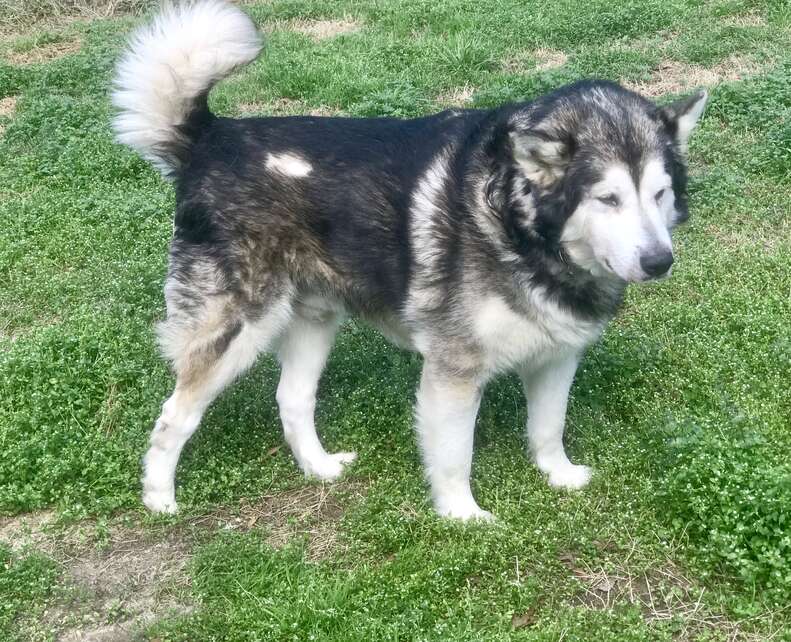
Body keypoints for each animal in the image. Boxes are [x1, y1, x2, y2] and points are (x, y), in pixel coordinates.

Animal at [110, 0, 704, 520]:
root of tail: (212, 137)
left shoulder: (557, 356)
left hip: (313, 322)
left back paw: (319, 468)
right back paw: (159, 499)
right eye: (608, 199)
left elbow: (547, 428)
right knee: (174, 416)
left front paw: (557, 475)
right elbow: (455, 455)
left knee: (292, 400)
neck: (522, 232)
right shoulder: (454, 371)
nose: (659, 261)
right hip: (236, 329)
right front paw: (462, 517)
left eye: (659, 193)